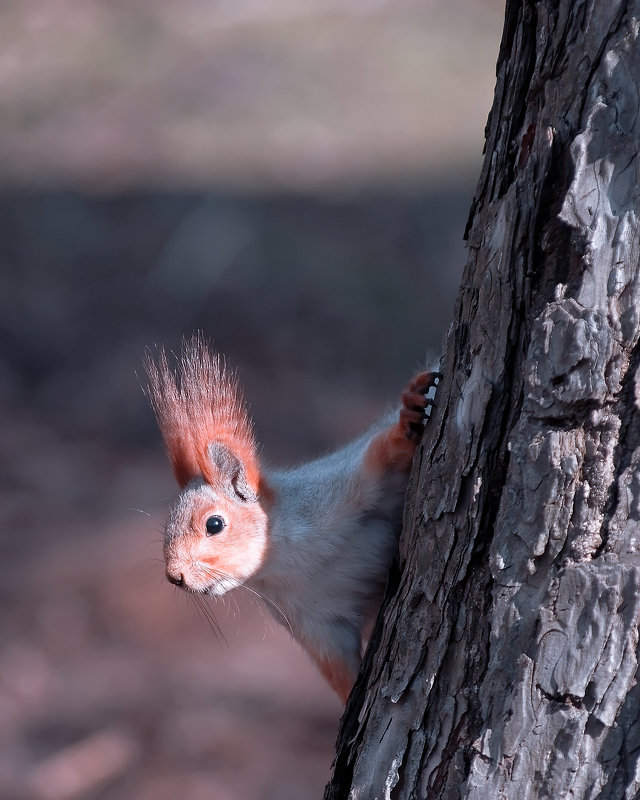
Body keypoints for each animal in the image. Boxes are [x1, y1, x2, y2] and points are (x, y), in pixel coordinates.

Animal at [144, 334, 440, 704]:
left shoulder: (341, 487)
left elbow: (384, 453)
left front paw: (407, 416)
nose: (175, 576)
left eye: (214, 524)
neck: (288, 565)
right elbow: (339, 671)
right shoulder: (316, 625)